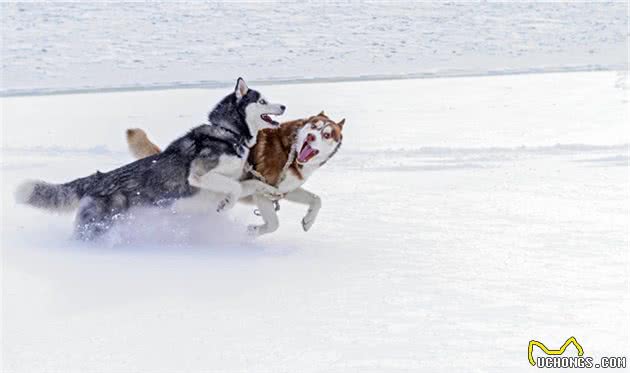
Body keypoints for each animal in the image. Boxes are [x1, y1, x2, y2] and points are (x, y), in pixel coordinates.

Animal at [15, 77, 286, 238]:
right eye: (263, 101)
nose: (283, 106)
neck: (229, 133)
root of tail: (98, 179)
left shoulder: (235, 178)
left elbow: (250, 184)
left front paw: (271, 191)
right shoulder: (199, 175)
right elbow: (233, 188)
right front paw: (226, 204)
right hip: (98, 225)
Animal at [126, 109, 348, 235]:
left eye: (327, 134)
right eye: (314, 126)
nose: (310, 137)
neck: (291, 152)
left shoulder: (283, 189)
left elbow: (316, 199)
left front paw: (309, 221)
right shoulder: (263, 193)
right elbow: (273, 223)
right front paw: (255, 231)